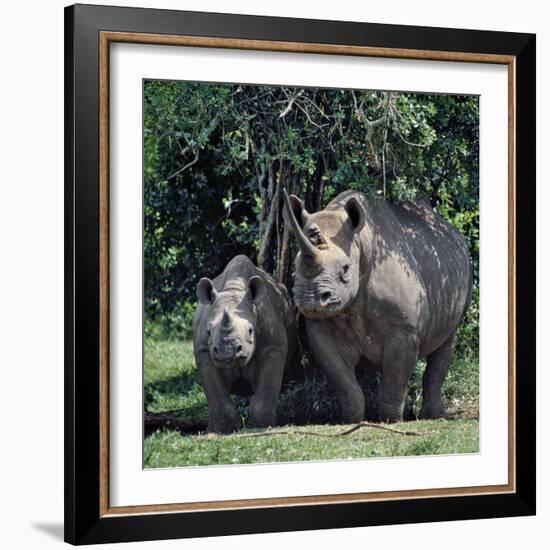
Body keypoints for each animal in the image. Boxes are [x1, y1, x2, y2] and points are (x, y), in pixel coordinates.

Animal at [194, 256, 298, 436]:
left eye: (250, 330)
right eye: (208, 331)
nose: (226, 352)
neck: (233, 289)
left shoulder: (273, 347)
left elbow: (264, 393)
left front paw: (262, 426)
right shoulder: (204, 351)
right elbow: (217, 397)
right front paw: (219, 431)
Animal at [282, 188, 472, 424]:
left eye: (345, 269)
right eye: (295, 266)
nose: (309, 299)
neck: (359, 243)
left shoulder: (404, 328)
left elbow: (395, 376)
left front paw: (391, 421)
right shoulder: (321, 328)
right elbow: (342, 379)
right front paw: (352, 421)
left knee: (446, 340)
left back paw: (433, 416)